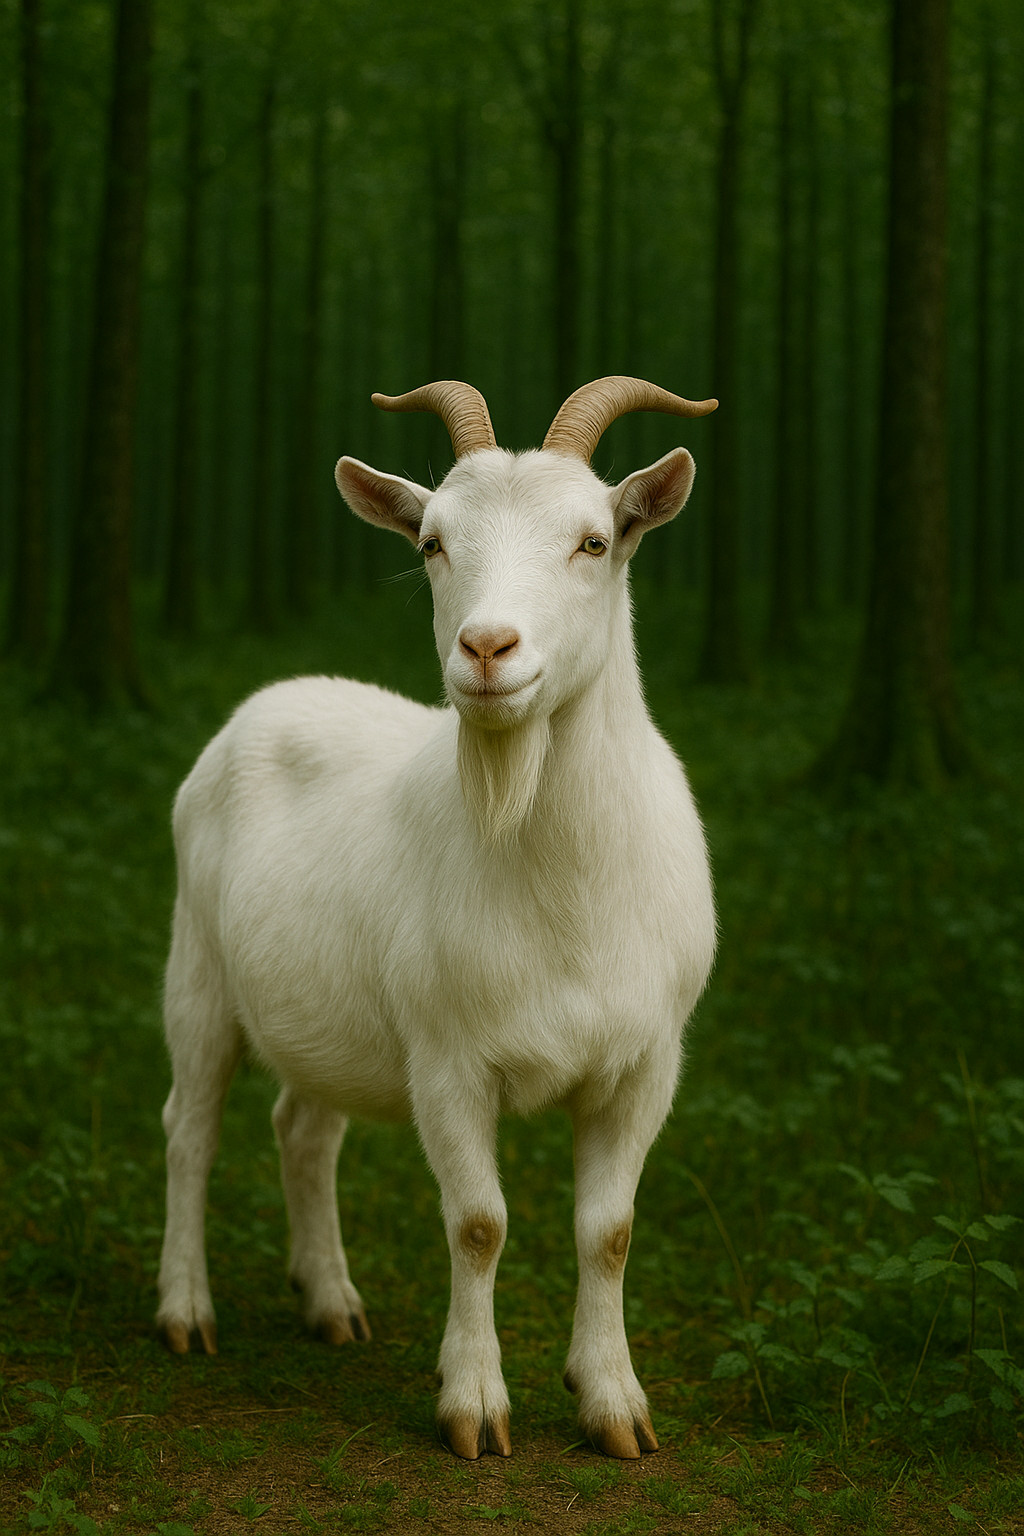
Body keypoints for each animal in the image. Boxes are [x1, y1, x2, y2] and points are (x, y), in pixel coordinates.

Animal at [156, 376, 718, 1461]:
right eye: (431, 543)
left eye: (594, 541)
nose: (487, 648)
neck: (566, 898)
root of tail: (270, 698)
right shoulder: (449, 1059)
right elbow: (478, 1224)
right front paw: (474, 1406)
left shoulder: (643, 1062)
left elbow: (609, 1229)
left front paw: (613, 1406)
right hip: (197, 970)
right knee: (189, 1128)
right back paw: (185, 1313)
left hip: (325, 1013)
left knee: (303, 1130)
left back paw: (331, 1302)